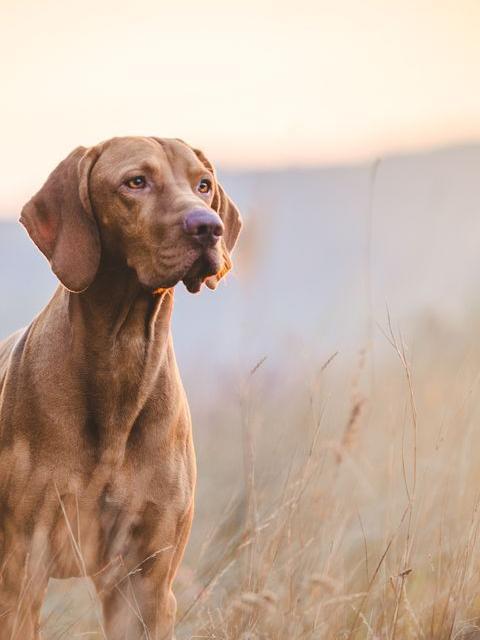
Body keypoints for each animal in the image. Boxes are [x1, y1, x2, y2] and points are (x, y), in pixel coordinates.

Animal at [0, 136, 242, 640]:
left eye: (203, 185)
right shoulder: (21, 571)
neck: (122, 359)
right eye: (136, 182)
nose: (208, 228)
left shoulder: (145, 582)